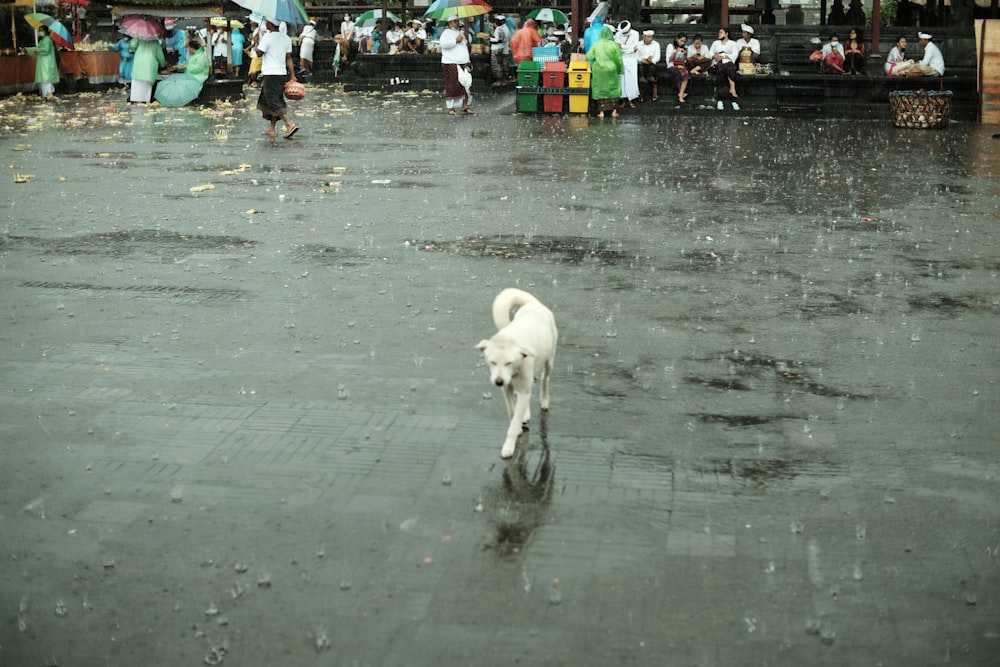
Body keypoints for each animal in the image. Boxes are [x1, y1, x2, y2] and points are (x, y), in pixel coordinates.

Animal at [474, 288, 560, 460]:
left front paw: (508, 446)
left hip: (549, 360)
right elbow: (512, 412)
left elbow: (514, 422)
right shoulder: (506, 390)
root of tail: (534, 303)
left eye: (509, 362)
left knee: (545, 380)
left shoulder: (521, 384)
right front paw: (519, 424)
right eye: (492, 362)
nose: (498, 381)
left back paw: (544, 400)